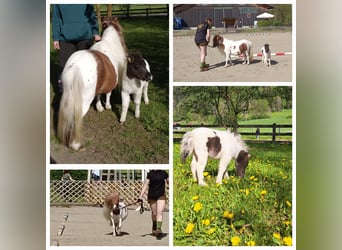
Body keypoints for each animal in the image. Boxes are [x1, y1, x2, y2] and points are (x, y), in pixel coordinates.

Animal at [56, 17, 127, 150]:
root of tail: (75, 66)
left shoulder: (99, 85)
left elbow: (98, 95)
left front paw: (99, 107)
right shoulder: (111, 83)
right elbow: (108, 94)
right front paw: (107, 106)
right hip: (82, 103)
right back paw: (75, 144)